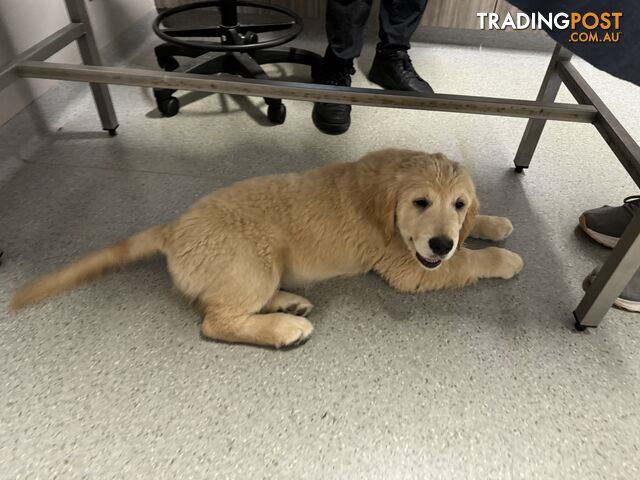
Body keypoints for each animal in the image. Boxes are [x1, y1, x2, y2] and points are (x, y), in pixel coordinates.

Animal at [10, 148, 524, 346]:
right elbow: (467, 261)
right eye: (420, 202)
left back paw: (289, 303)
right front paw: (505, 257)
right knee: (217, 321)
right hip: (255, 260)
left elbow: (472, 236)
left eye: (458, 203)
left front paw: (495, 222)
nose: (440, 240)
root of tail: (173, 228)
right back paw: (282, 327)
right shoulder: (410, 267)